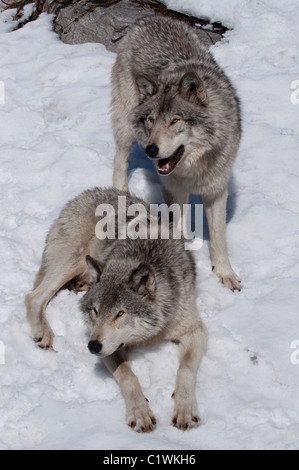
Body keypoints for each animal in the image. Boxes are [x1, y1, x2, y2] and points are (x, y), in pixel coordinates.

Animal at [25, 187, 209, 434]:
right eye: (95, 311)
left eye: (120, 314)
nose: (92, 346)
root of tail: (89, 192)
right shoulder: (108, 347)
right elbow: (127, 375)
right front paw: (140, 413)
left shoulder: (195, 330)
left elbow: (186, 368)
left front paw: (185, 409)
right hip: (73, 260)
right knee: (34, 296)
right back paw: (43, 333)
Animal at [111, 16, 243, 292]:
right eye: (151, 120)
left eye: (175, 121)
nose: (151, 150)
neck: (193, 168)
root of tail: (148, 18)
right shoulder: (174, 188)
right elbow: (179, 227)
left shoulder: (216, 190)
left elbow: (219, 239)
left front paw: (225, 274)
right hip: (125, 127)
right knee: (120, 159)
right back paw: (121, 191)